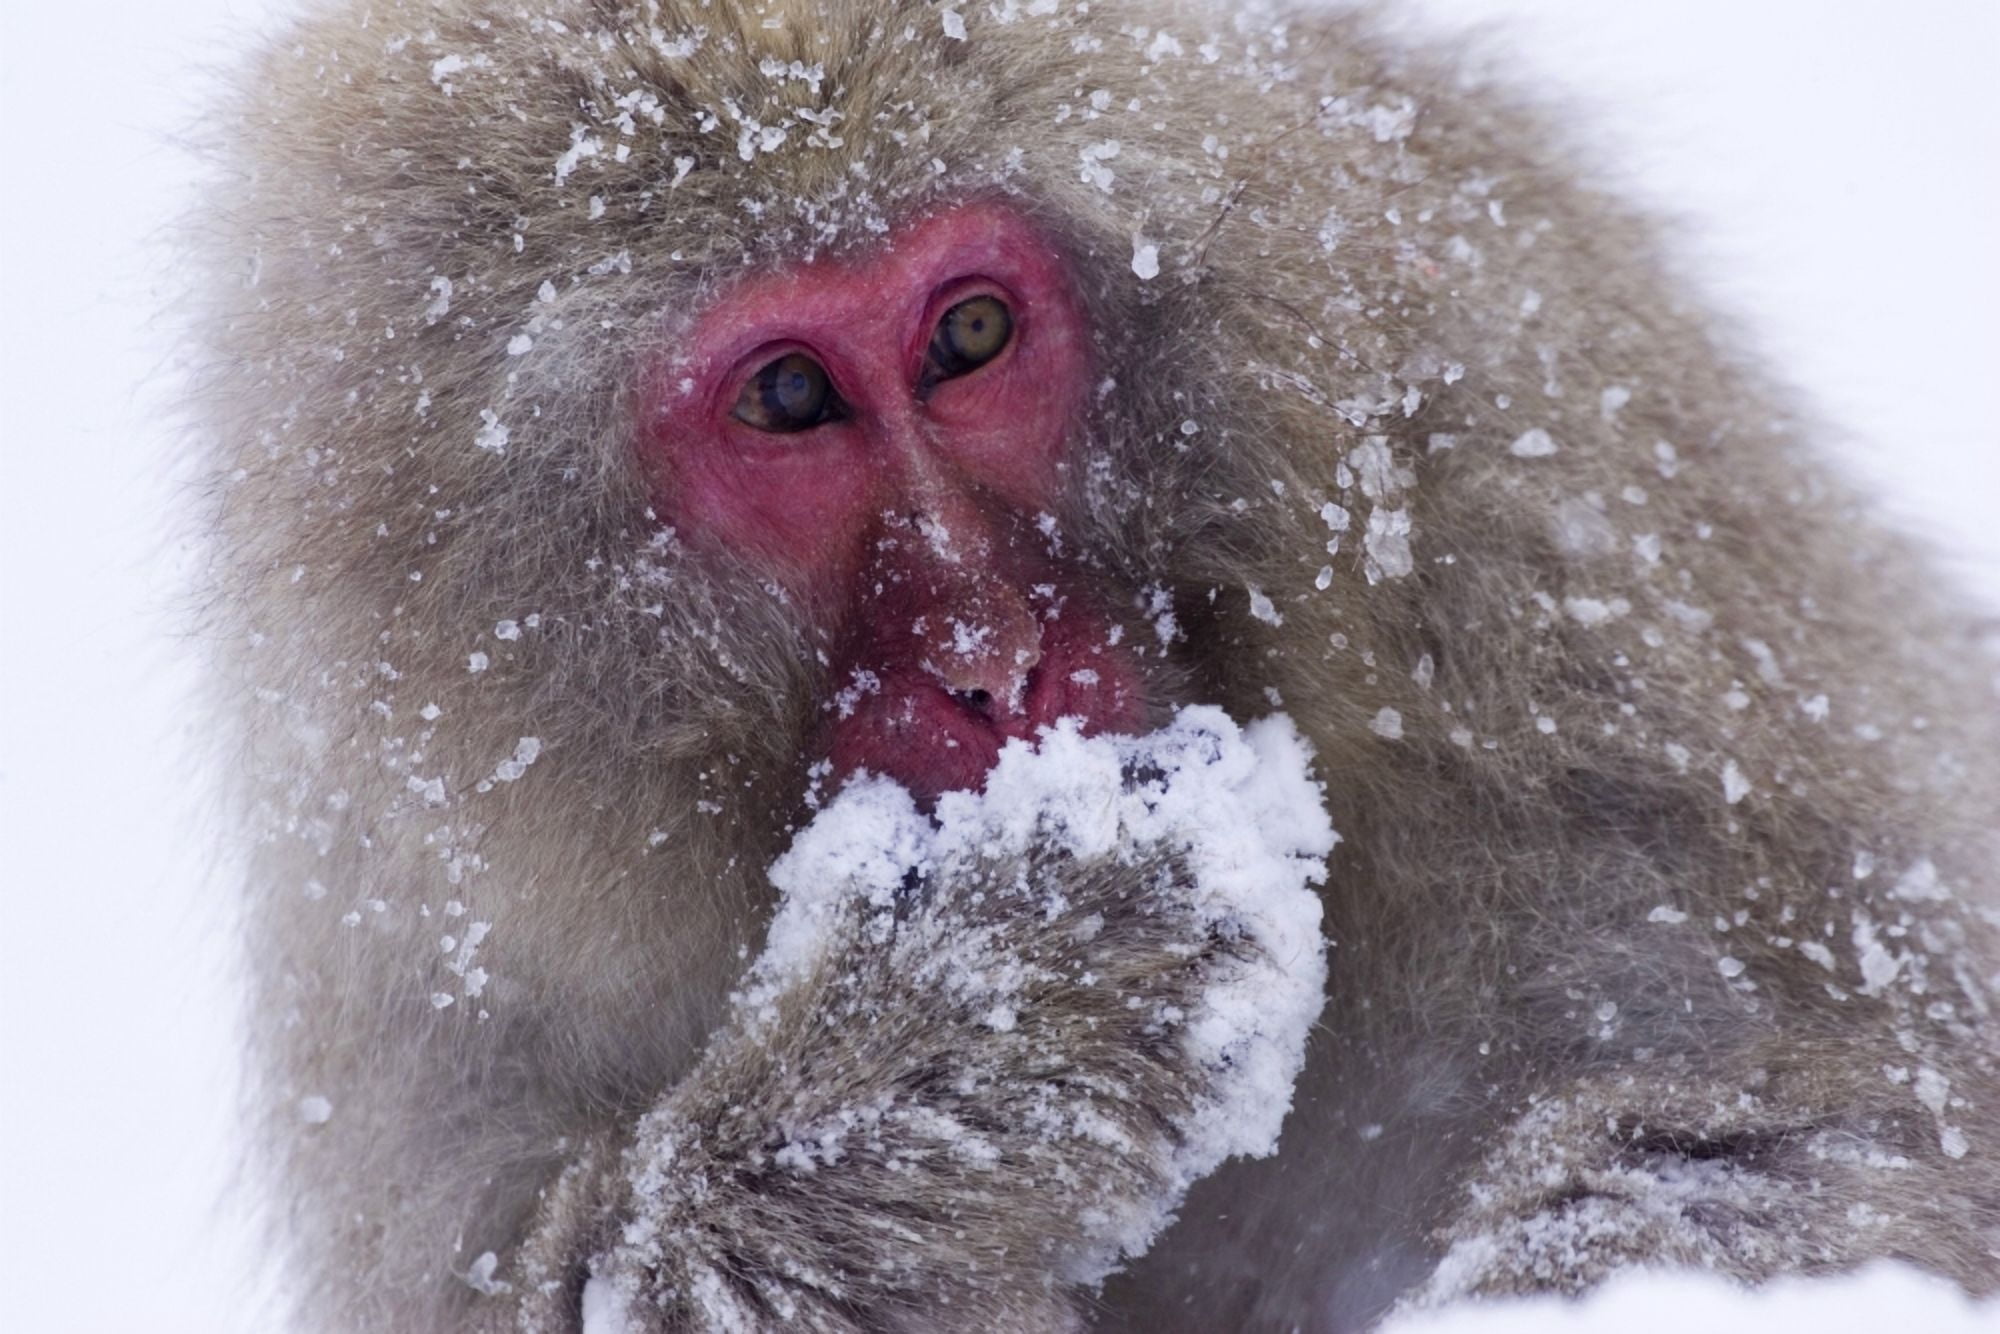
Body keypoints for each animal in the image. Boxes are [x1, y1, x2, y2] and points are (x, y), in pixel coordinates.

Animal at [188, 0, 2000, 1330]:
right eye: (790, 397)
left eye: (969, 335)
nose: (998, 661)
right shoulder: (431, 946)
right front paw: (977, 1027)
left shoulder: (1539, 559)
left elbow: (1795, 1129)